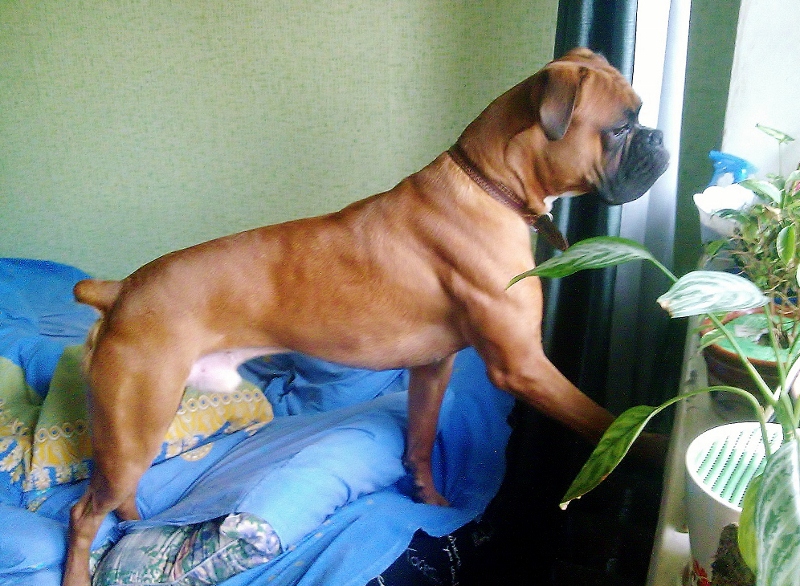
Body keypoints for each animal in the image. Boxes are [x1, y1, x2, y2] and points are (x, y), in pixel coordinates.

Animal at [63, 48, 669, 586]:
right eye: (621, 127)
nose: (659, 138)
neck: (488, 184)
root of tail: (121, 289)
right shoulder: (525, 366)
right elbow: (602, 419)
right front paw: (657, 445)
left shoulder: (433, 370)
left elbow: (420, 444)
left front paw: (432, 503)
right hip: (136, 423)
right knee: (82, 514)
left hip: (137, 426)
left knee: (115, 497)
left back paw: (136, 525)